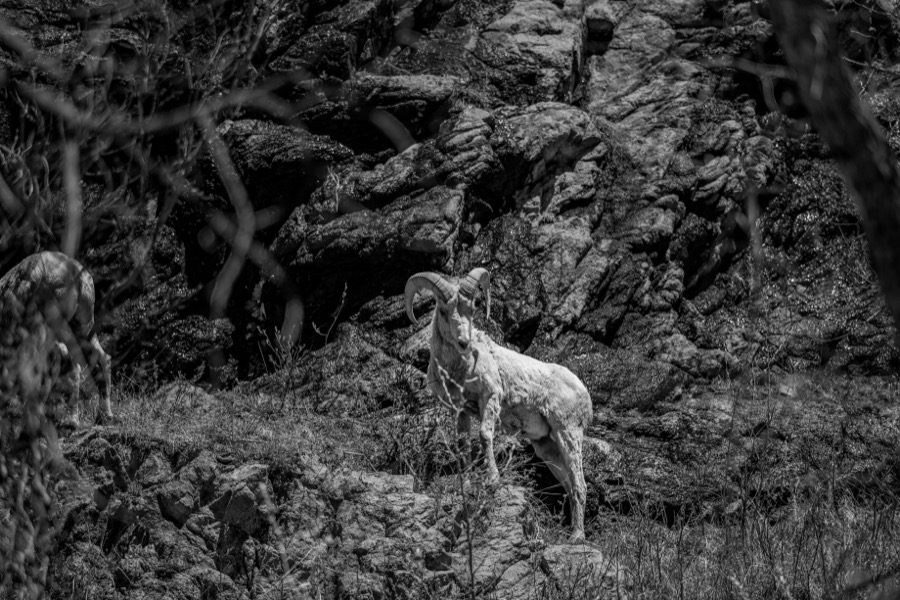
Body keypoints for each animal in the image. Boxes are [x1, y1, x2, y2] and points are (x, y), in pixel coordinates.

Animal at [0, 251, 112, 424]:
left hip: (51, 326)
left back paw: (70, 420)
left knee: (68, 363)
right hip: (83, 325)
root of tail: (77, 274)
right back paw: (103, 414)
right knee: (101, 358)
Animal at [405, 268, 593, 541]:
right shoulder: (459, 410)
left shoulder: (490, 397)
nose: (463, 342)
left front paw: (492, 480)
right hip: (546, 446)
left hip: (568, 433)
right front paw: (467, 482)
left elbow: (485, 435)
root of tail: (584, 394)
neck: (458, 369)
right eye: (443, 311)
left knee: (579, 484)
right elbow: (463, 445)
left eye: (472, 308)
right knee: (568, 484)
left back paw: (577, 537)